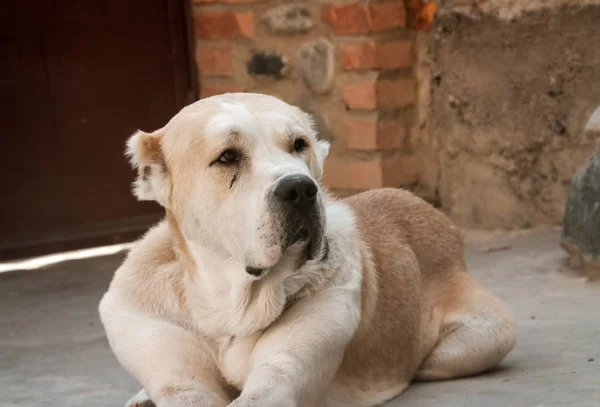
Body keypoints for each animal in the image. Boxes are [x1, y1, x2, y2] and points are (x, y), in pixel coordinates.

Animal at [98, 93, 516, 407]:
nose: (299, 188)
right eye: (228, 156)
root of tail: (436, 216)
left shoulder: (282, 376)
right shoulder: (178, 374)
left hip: (479, 338)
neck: (227, 309)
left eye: (299, 145)